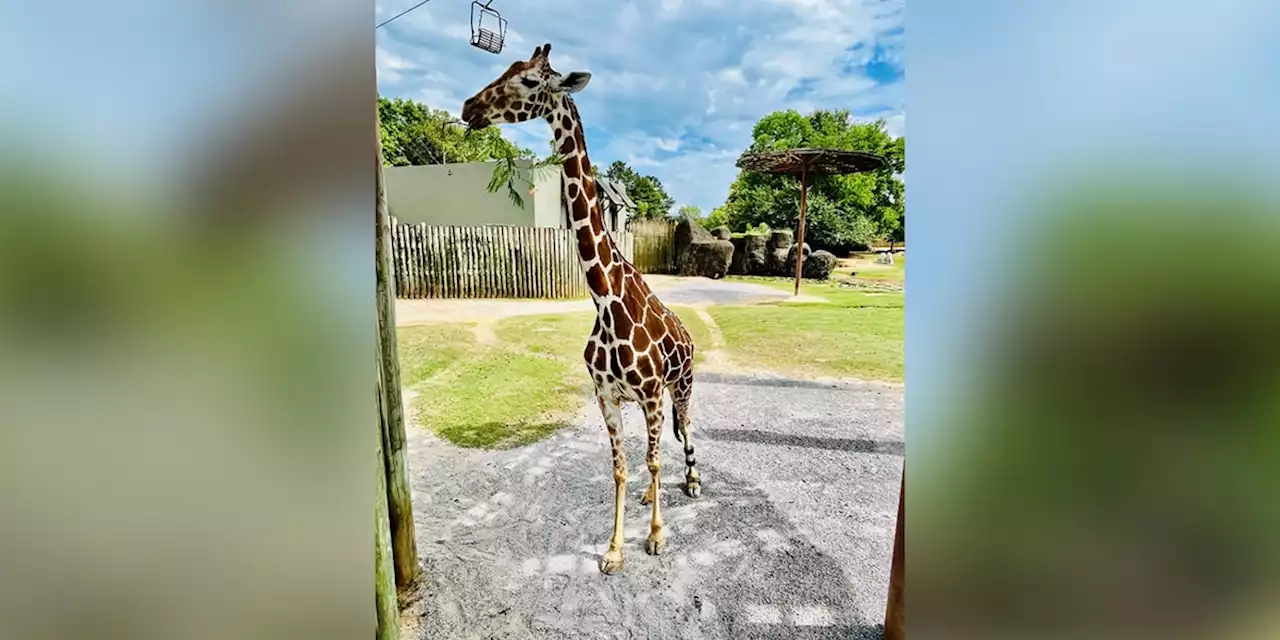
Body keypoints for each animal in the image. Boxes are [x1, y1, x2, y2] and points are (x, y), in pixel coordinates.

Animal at [460, 45, 701, 576]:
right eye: (506, 68)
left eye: (530, 81)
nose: (469, 107)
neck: (606, 302)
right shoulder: (607, 395)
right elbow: (621, 468)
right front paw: (614, 550)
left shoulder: (650, 393)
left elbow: (654, 460)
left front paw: (656, 536)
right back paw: (649, 497)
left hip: (681, 385)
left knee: (686, 429)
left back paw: (694, 480)